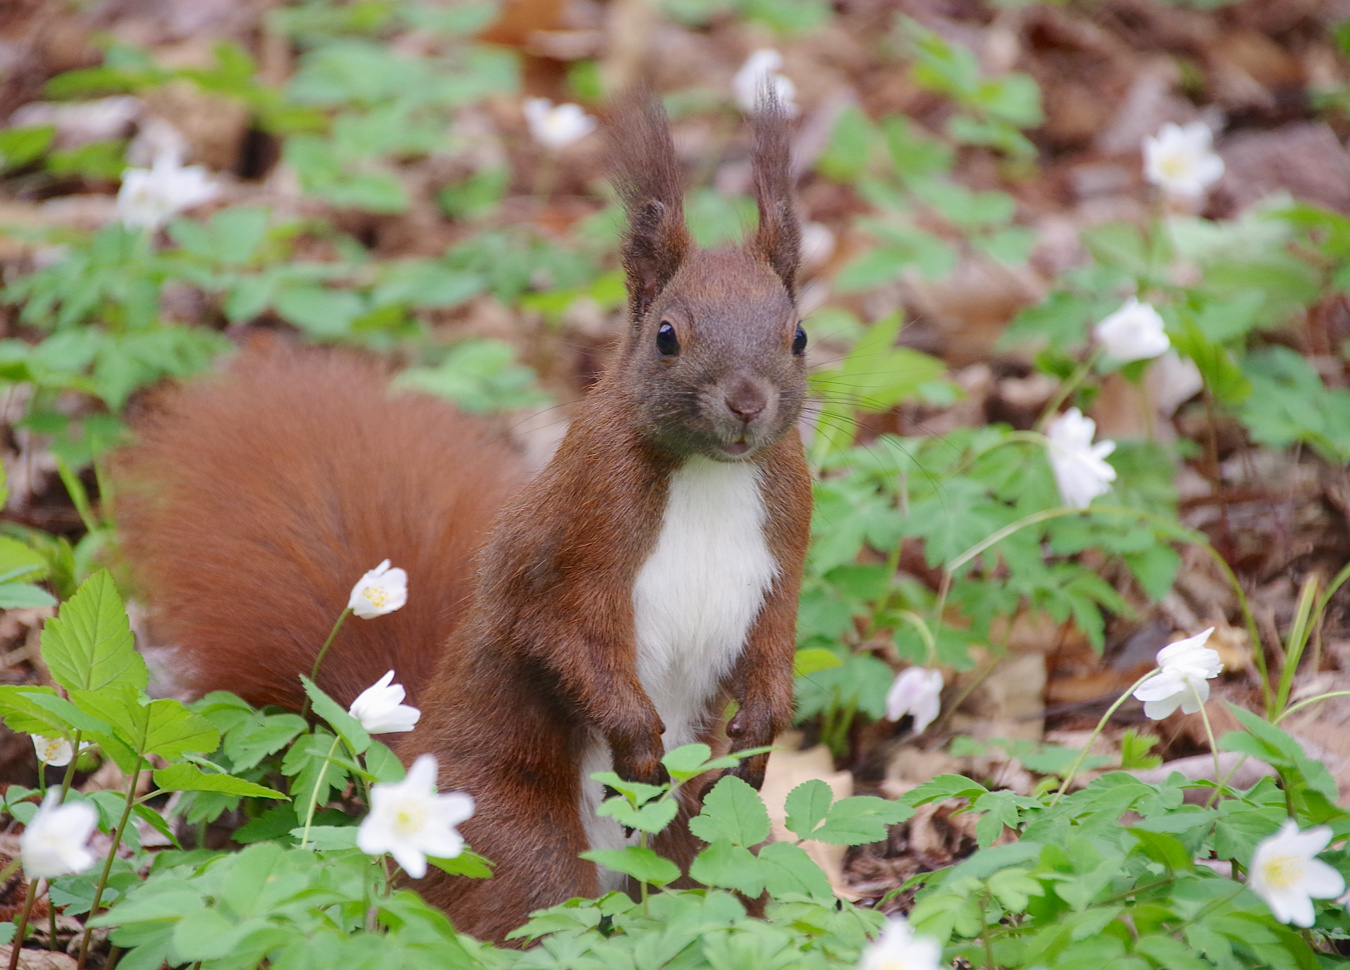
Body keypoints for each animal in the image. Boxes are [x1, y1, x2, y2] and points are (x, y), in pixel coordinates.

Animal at [110, 91, 804, 938]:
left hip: (709, 853)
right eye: (667, 336)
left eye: (799, 336)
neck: (710, 474)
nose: (747, 403)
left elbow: (771, 645)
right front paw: (639, 741)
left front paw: (759, 736)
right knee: (524, 904)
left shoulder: (786, 531)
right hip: (507, 839)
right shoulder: (576, 530)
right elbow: (559, 633)